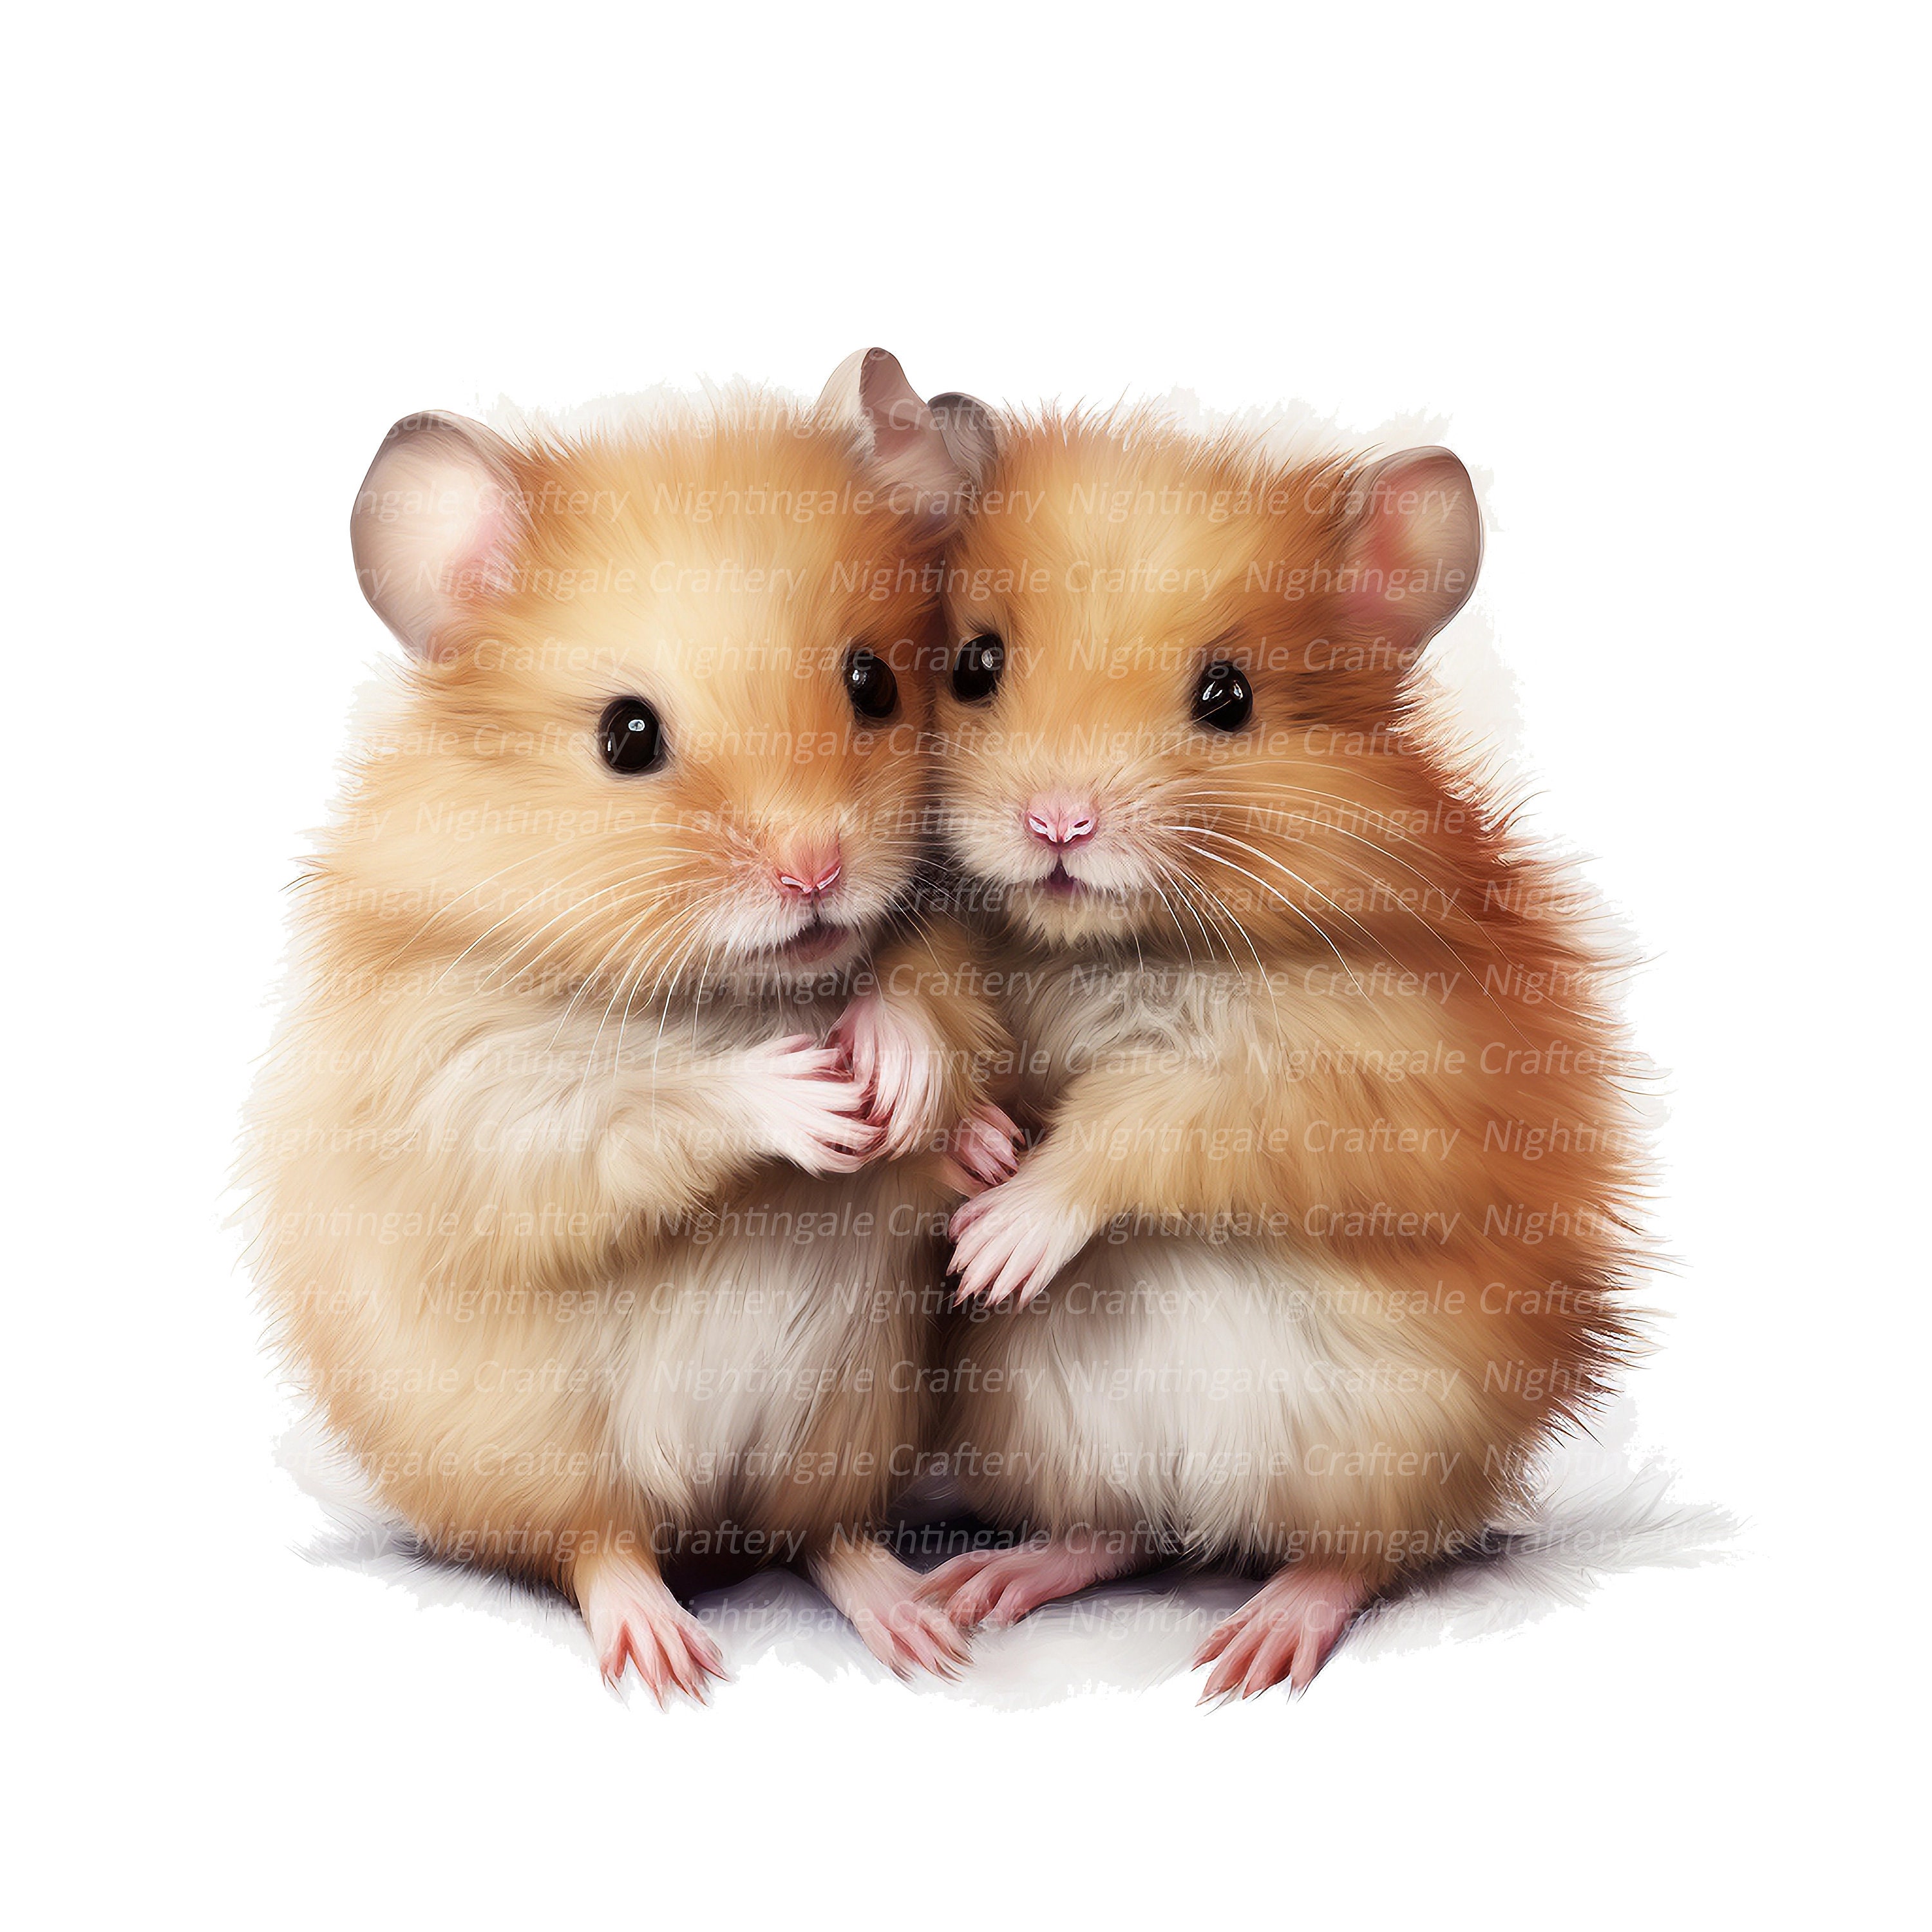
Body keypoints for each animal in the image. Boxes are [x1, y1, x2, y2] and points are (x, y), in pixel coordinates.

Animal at [240, 350, 1017, 1701]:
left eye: (874, 684)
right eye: (627, 736)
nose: (816, 872)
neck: (742, 989)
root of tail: (708, 1518)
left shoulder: (954, 936)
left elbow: (929, 987)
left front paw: (902, 1084)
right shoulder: (469, 1080)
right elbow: (637, 1105)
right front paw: (816, 1102)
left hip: (846, 1418)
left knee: (822, 1532)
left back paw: (923, 1629)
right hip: (537, 1445)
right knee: (598, 1543)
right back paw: (669, 1659)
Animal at [914, 401, 1648, 1698]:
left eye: (1228, 696)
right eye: (975, 665)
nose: (1058, 823)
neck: (1110, 947)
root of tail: (1219, 1514)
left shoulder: (1330, 1078)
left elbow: (1140, 1121)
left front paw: (997, 1246)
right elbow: (957, 1056)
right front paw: (979, 1157)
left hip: (1401, 1435)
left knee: (1361, 1553)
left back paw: (1258, 1649)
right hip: (1044, 1427)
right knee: (1116, 1530)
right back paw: (986, 1586)